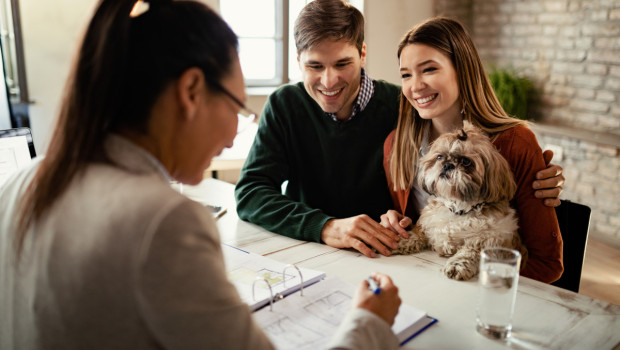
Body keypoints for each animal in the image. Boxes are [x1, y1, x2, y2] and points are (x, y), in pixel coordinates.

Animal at [392, 121, 528, 280]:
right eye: (440, 157)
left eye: (466, 161)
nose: (447, 165)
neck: (459, 209)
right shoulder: (426, 223)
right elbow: (416, 234)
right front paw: (402, 241)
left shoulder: (486, 241)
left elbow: (469, 252)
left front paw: (457, 265)